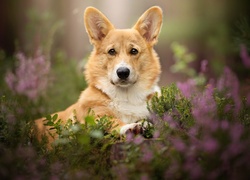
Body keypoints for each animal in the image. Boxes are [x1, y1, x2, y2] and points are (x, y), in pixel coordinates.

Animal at [35, 5, 164, 143]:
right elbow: (113, 121)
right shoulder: (95, 117)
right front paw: (129, 127)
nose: (123, 72)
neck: (126, 96)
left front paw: (143, 123)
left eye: (134, 51)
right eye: (111, 51)